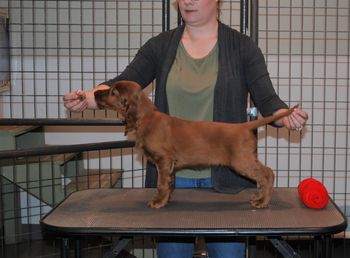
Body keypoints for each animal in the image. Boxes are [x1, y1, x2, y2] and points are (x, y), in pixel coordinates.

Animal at [95, 80, 296, 210]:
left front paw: (158, 202)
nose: (96, 92)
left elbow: (161, 184)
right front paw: (167, 200)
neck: (146, 117)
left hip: (241, 161)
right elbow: (170, 183)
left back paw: (263, 202)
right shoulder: (169, 164)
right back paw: (259, 197)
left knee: (267, 174)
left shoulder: (163, 160)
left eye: (113, 92)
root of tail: (244, 126)